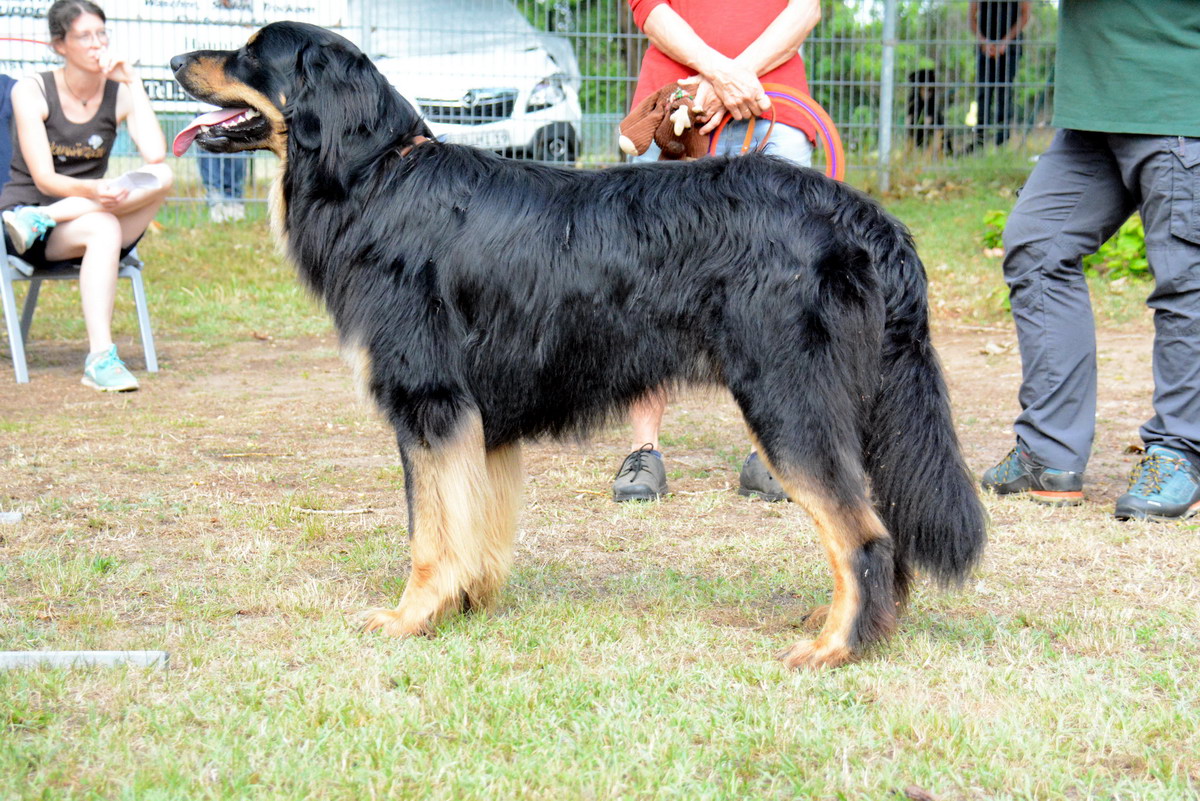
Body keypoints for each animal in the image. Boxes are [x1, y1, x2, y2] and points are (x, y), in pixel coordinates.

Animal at [169, 21, 988, 666]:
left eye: (248, 54)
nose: (175, 60)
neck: (377, 178)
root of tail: (861, 215)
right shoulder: (483, 420)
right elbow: (478, 522)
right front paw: (469, 602)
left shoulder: (430, 403)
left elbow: (429, 531)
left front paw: (412, 614)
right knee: (882, 529)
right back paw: (862, 624)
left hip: (788, 400)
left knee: (863, 534)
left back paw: (838, 646)